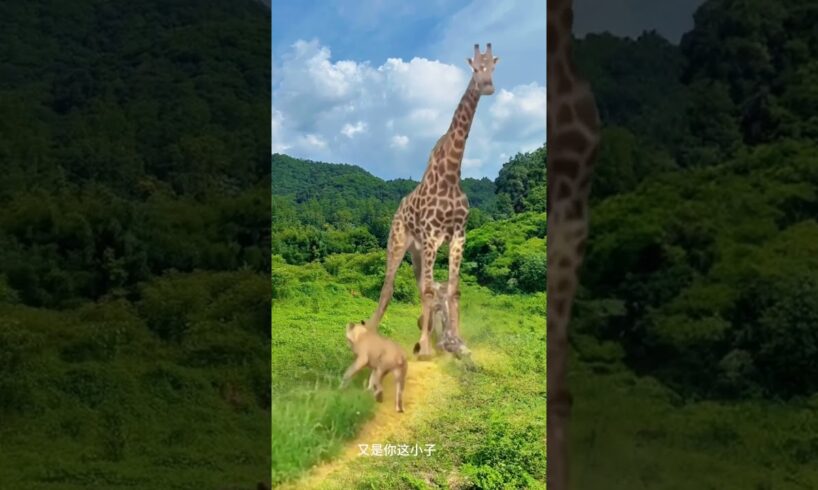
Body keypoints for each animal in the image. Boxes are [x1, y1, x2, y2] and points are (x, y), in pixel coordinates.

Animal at [368, 43, 498, 360]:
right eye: (475, 68)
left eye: (493, 66)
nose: (488, 86)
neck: (451, 175)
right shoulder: (431, 235)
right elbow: (430, 291)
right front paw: (427, 348)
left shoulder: (458, 235)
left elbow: (452, 289)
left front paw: (456, 343)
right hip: (398, 242)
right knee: (388, 288)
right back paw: (374, 335)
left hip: (416, 252)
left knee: (419, 286)